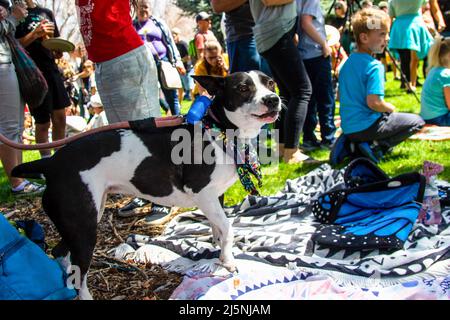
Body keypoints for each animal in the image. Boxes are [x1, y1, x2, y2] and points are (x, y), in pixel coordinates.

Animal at [12, 71, 280, 298]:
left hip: (84, 218)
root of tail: (52, 163)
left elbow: (218, 227)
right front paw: (228, 260)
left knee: (60, 253)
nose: (273, 99)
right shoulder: (202, 194)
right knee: (79, 269)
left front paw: (218, 251)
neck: (219, 130)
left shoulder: (215, 198)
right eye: (243, 88)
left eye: (270, 83)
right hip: (83, 228)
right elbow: (228, 228)